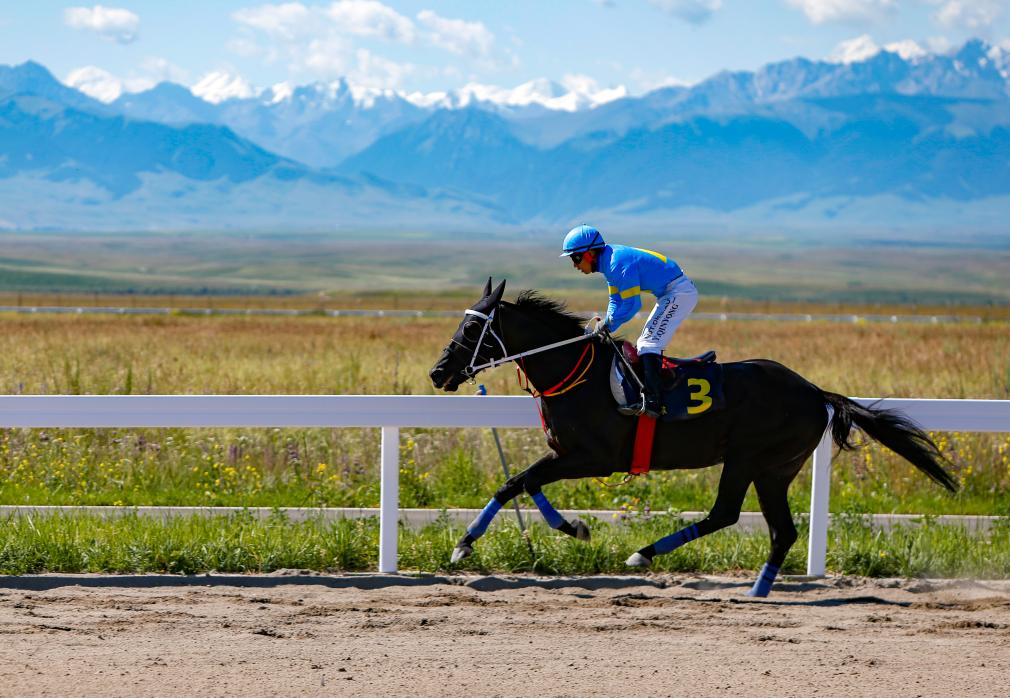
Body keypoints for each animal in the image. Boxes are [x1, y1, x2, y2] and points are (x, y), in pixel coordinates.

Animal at [426, 278, 953, 593]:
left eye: (471, 330)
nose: (437, 373)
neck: (576, 373)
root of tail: (814, 392)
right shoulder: (565, 453)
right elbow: (523, 482)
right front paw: (570, 527)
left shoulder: (596, 457)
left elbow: (517, 481)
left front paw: (466, 543)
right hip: (775, 469)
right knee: (779, 529)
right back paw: (757, 588)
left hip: (749, 458)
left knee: (728, 514)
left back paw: (644, 554)